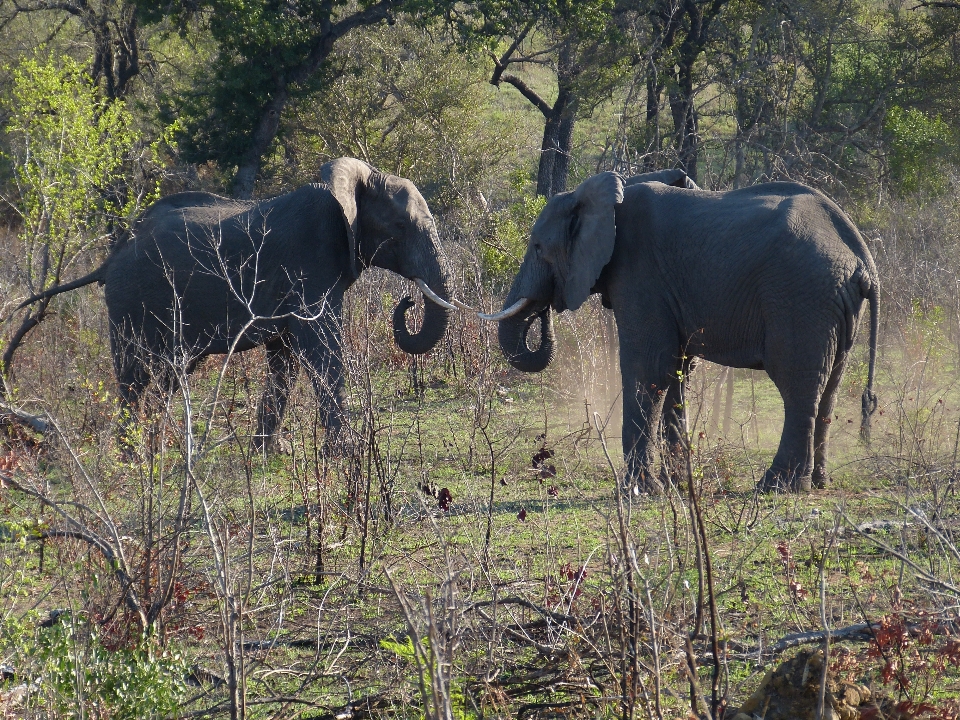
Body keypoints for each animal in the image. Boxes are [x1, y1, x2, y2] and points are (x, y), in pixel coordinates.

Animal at [17, 158, 462, 450]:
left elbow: (286, 357)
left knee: (168, 376)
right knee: (134, 375)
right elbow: (321, 347)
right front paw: (345, 452)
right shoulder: (309, 264)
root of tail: (112, 256)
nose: (408, 300)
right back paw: (132, 458)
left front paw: (269, 453)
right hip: (131, 302)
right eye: (400, 227)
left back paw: (158, 450)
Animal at [488, 172, 876, 492]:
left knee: (797, 384)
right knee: (830, 384)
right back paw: (819, 482)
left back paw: (778, 486)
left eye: (538, 247)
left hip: (801, 297)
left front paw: (638, 491)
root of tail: (860, 255)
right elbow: (676, 371)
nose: (545, 310)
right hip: (832, 305)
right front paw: (675, 485)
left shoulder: (640, 273)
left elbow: (648, 368)